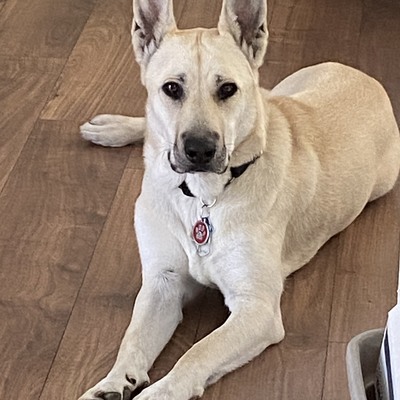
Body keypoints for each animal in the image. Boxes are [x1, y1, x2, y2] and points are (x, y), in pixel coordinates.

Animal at [78, 0, 400, 399]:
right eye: (171, 88)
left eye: (228, 89)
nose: (200, 150)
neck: (203, 198)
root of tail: (364, 75)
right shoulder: (162, 283)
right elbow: (133, 338)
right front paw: (112, 381)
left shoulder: (256, 309)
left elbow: (198, 352)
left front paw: (159, 392)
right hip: (276, 93)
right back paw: (112, 128)